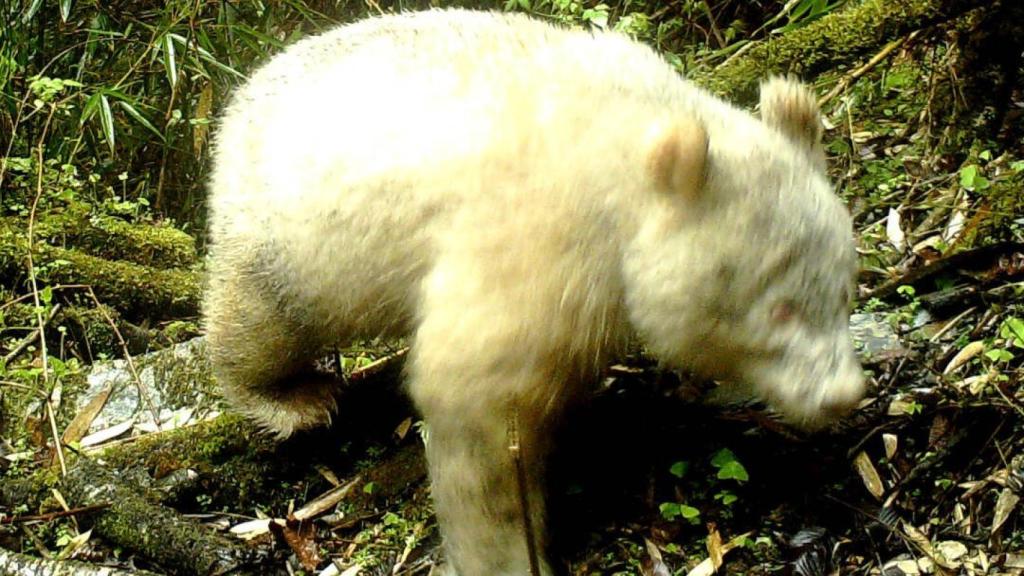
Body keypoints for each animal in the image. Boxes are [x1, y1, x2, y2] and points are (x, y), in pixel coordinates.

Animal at [203, 10, 868, 573]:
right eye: (780, 309)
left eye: (845, 291)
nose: (843, 394)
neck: (627, 149)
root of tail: (242, 94)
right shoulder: (539, 237)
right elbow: (477, 396)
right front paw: (508, 553)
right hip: (286, 232)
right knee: (261, 320)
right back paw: (292, 398)